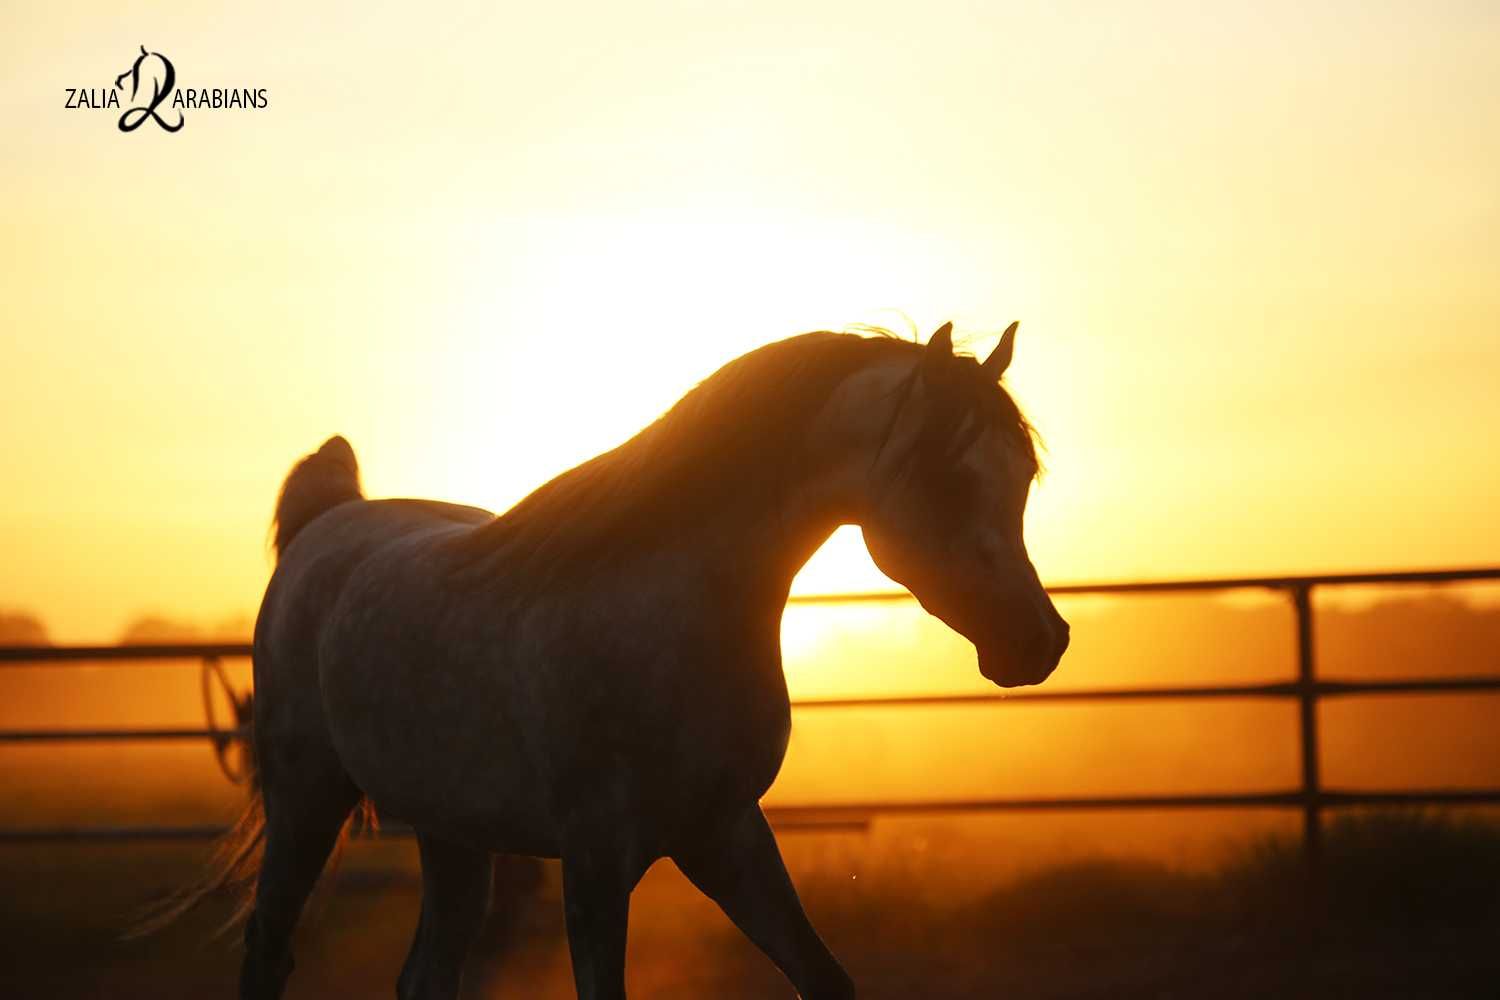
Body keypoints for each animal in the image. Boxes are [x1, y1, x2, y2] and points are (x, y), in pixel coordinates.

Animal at [161, 319, 1068, 995]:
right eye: (950, 479)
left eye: (1022, 475)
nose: (1040, 642)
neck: (675, 614)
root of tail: (331, 520)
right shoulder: (596, 862)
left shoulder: (725, 833)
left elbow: (825, 979)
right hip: (306, 802)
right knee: (269, 952)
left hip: (452, 832)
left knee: (425, 976)